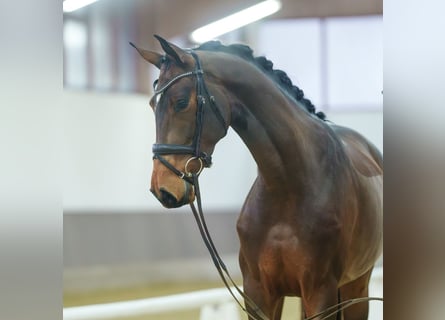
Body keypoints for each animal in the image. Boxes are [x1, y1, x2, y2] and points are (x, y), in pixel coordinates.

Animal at [131, 35, 382, 320]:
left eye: (181, 102)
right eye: (152, 105)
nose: (162, 188)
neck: (289, 186)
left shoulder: (321, 293)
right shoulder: (258, 292)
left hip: (356, 287)